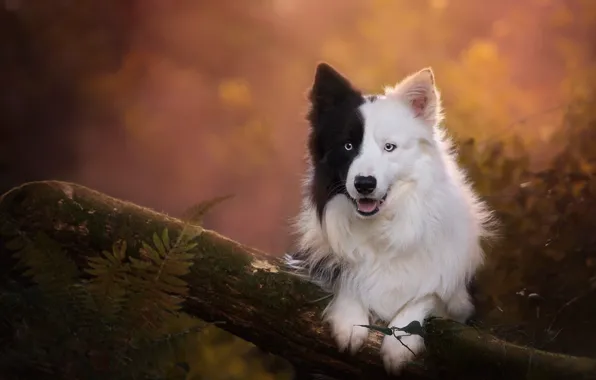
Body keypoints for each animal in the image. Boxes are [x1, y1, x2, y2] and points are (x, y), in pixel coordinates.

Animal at [284, 62, 494, 374]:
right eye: (348, 146)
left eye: (389, 147)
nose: (364, 184)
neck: (383, 226)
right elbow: (348, 277)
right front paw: (350, 320)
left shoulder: (457, 298)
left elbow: (425, 297)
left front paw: (398, 344)